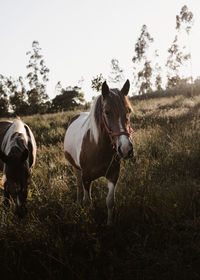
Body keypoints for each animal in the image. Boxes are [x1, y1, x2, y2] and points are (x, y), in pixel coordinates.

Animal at [64, 79, 134, 225]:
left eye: (129, 111)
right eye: (106, 112)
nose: (126, 149)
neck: (98, 148)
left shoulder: (113, 176)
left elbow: (110, 201)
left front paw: (109, 224)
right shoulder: (86, 178)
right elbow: (87, 201)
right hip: (75, 168)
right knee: (78, 186)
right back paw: (78, 203)